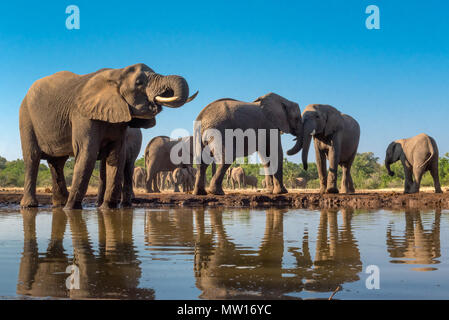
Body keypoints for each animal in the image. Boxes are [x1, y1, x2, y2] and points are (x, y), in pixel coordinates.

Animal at [18, 63, 198, 210]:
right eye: (139, 83)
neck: (117, 73)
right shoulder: (82, 114)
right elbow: (87, 154)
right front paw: (71, 210)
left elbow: (115, 157)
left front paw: (106, 209)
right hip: (25, 117)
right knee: (32, 158)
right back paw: (31, 206)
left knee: (57, 163)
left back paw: (59, 204)